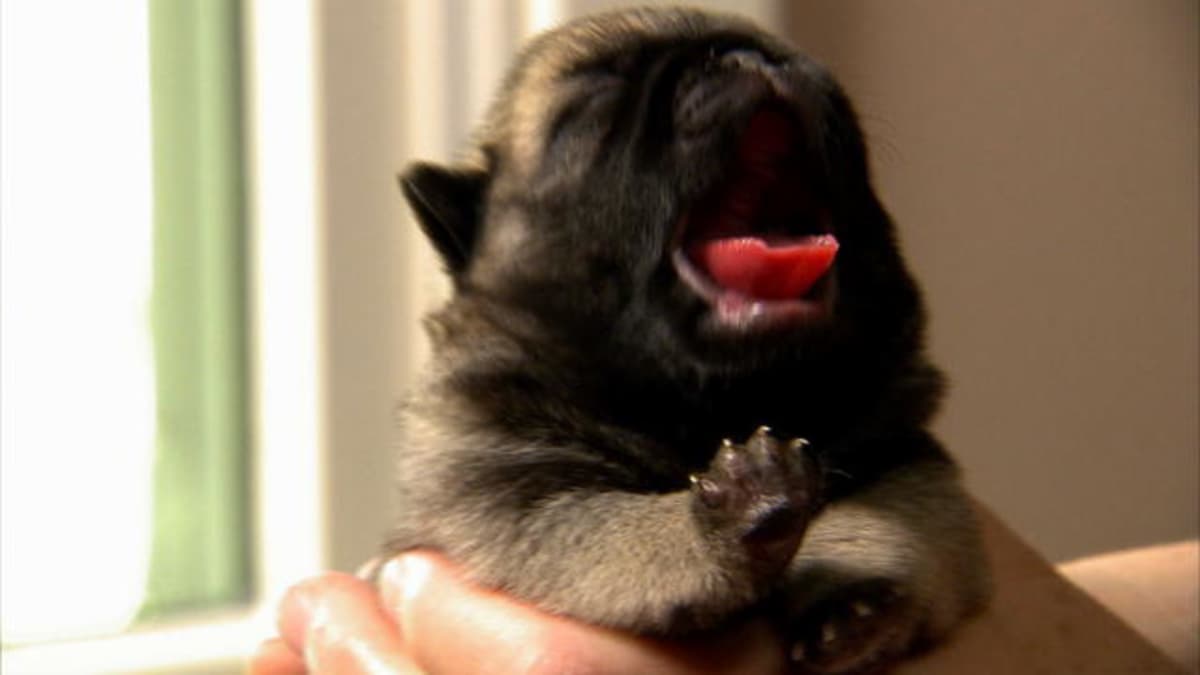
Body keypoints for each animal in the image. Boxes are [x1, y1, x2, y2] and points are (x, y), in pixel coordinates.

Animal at [381, 6, 984, 672]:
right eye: (598, 95)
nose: (742, 54)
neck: (700, 400)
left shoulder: (903, 457)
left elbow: (892, 525)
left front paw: (852, 602)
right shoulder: (509, 496)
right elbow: (619, 532)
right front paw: (724, 524)